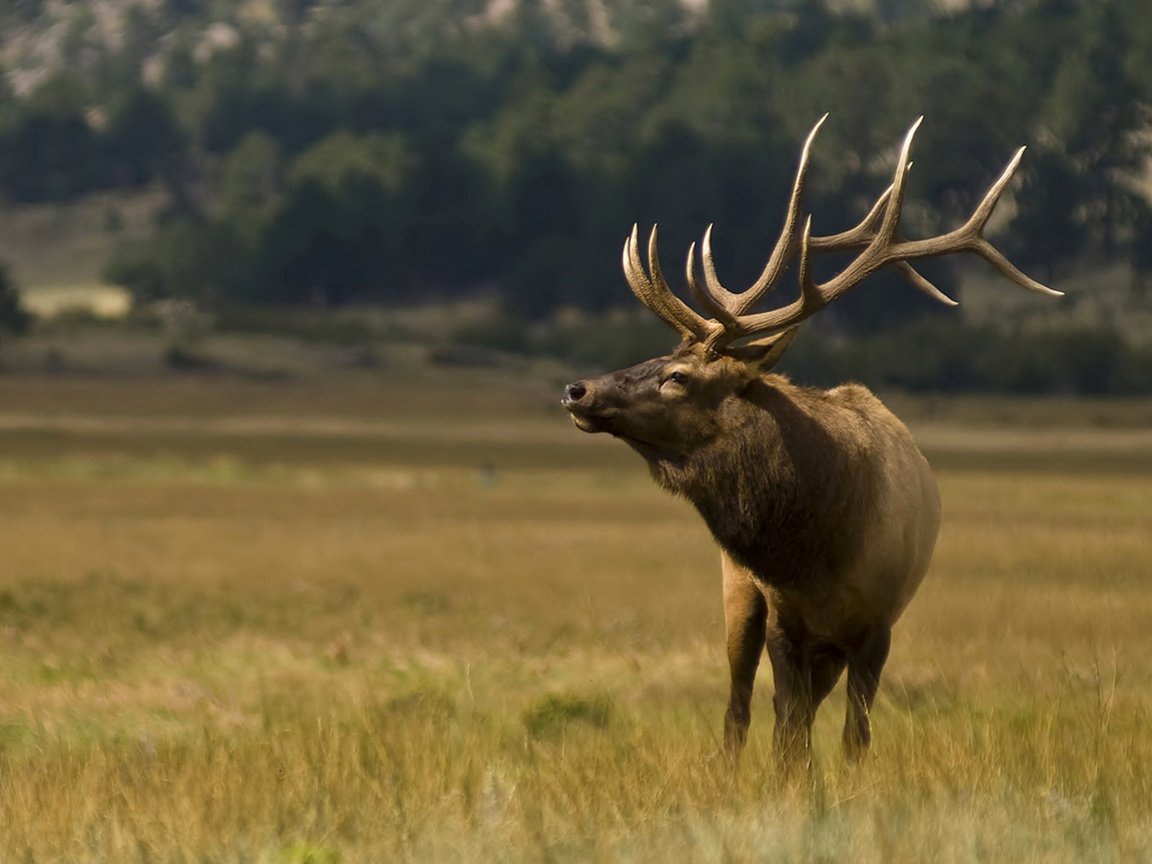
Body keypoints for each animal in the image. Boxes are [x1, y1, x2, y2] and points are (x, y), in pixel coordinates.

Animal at [562, 118, 1055, 769]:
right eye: (659, 358)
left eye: (678, 376)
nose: (577, 389)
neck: (818, 549)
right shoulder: (783, 617)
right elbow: (786, 730)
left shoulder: (878, 624)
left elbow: (852, 736)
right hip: (738, 594)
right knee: (740, 708)